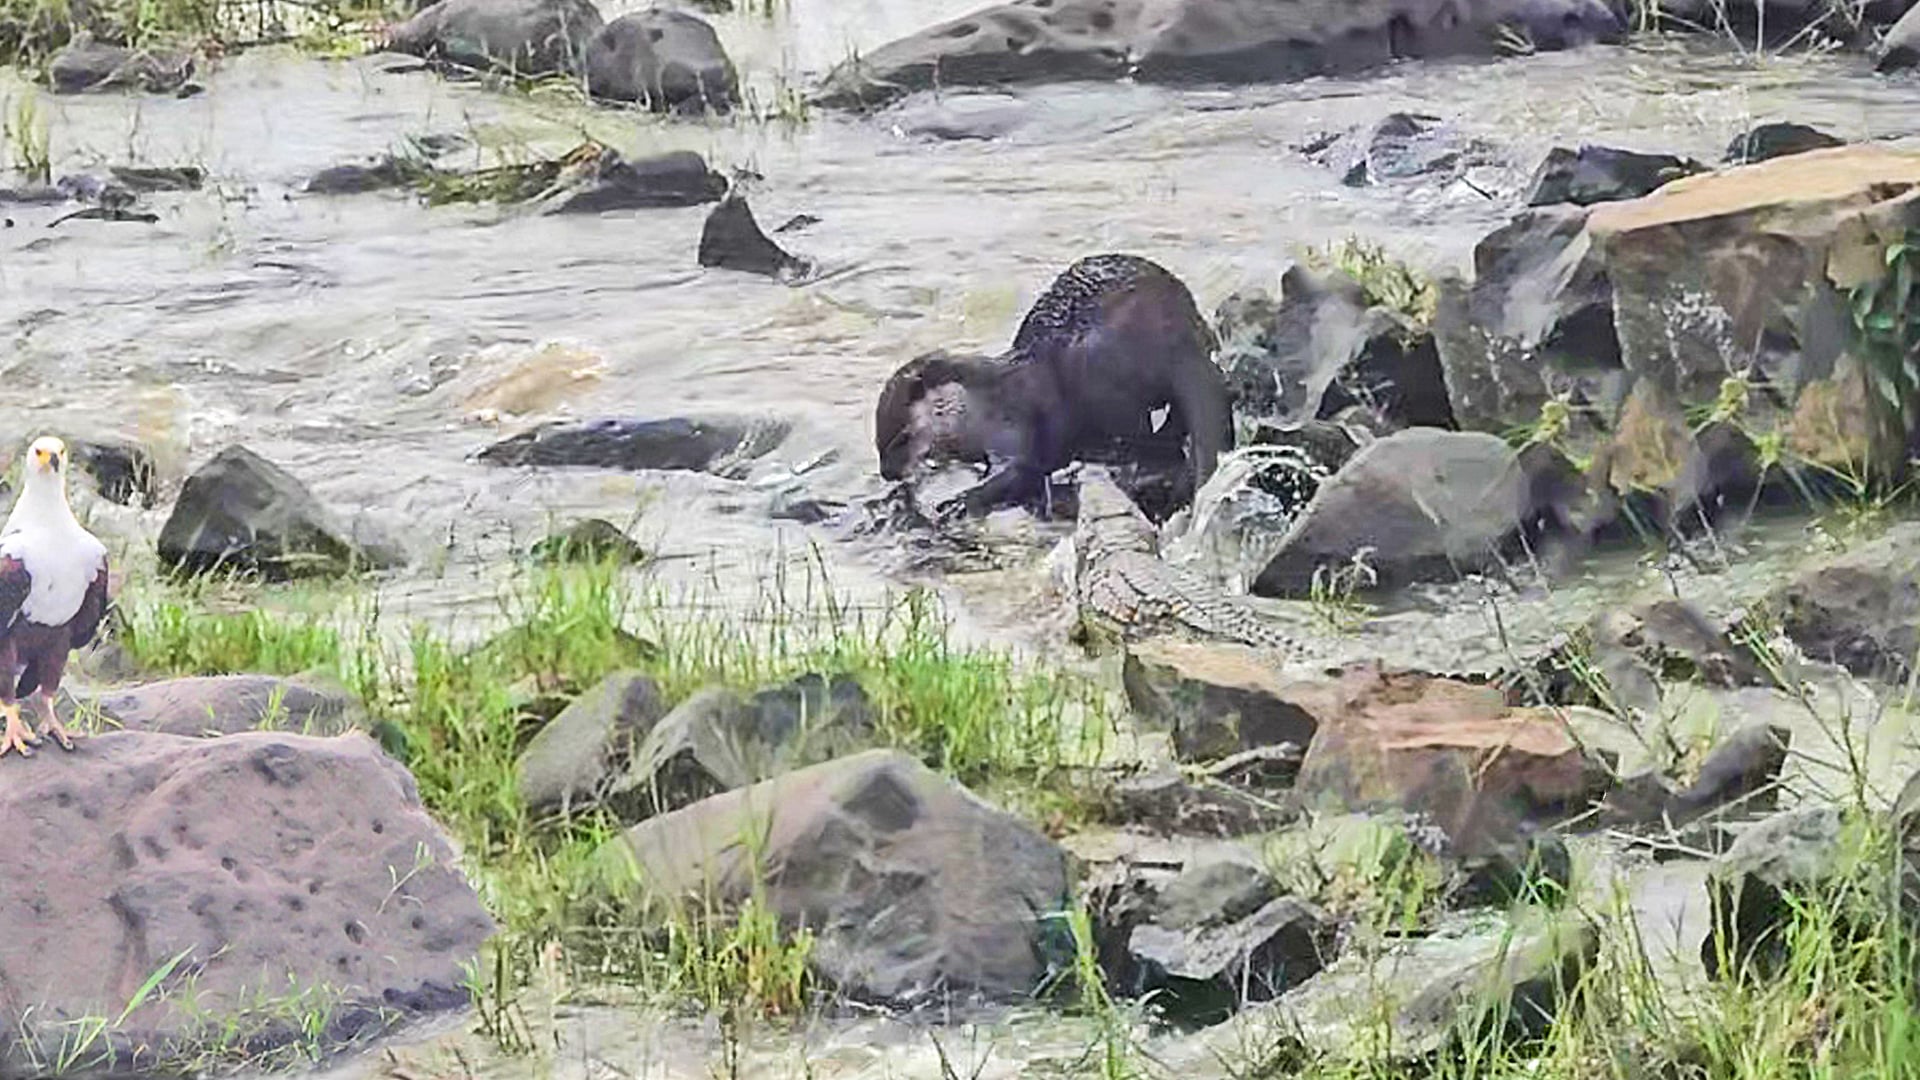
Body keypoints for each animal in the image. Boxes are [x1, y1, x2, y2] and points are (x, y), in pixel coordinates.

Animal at [875, 254, 1232, 518]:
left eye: (901, 438)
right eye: (878, 442)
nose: (886, 473)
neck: (979, 404)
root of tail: (1178, 336)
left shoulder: (1012, 419)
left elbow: (1021, 468)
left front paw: (959, 500)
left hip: (1097, 365)